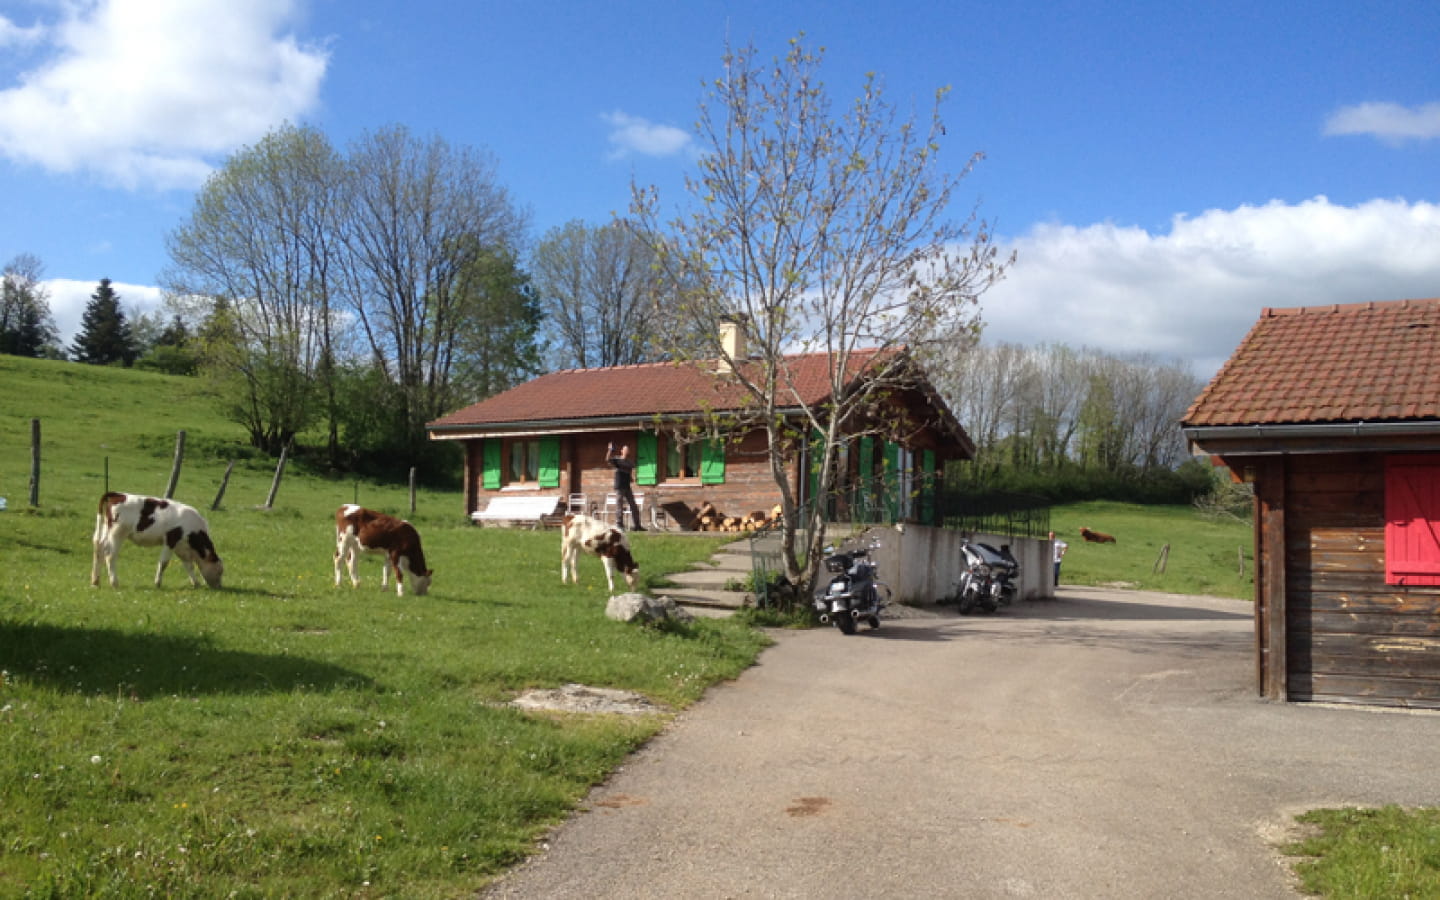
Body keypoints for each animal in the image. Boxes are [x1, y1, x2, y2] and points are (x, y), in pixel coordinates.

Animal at [92, 492, 223, 590]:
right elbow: (164, 563)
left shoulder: (181, 548)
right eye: (220, 572)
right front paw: (158, 583)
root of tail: (118, 494)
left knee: (99, 548)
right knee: (110, 555)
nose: (219, 587)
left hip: (106, 529)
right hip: (117, 534)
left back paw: (95, 581)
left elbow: (189, 566)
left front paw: (196, 583)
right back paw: (114, 583)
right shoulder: (171, 540)